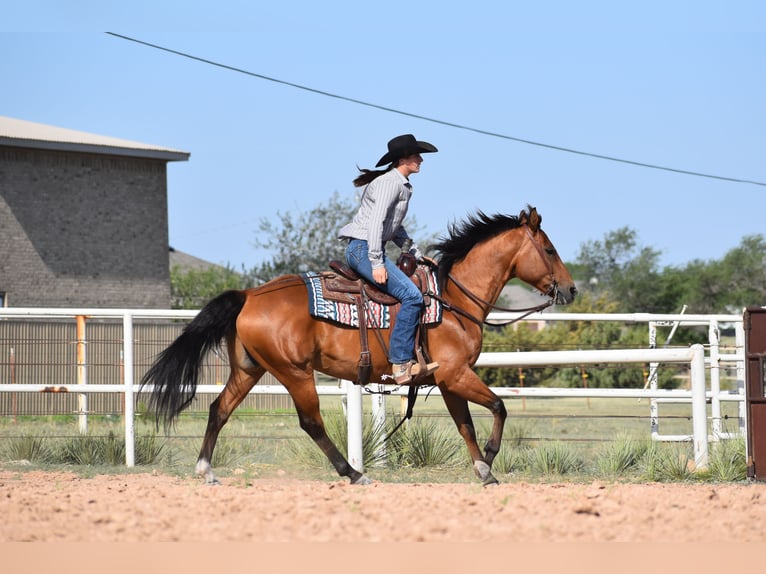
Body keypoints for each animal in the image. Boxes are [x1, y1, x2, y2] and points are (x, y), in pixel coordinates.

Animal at [140, 205, 577, 486]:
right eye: (550, 249)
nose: (571, 289)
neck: (452, 300)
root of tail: (249, 295)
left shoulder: (449, 380)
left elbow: (466, 424)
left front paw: (483, 472)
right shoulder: (456, 374)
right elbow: (499, 407)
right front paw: (488, 461)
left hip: (249, 369)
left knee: (219, 409)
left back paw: (205, 470)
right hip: (294, 372)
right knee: (311, 422)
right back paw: (353, 473)